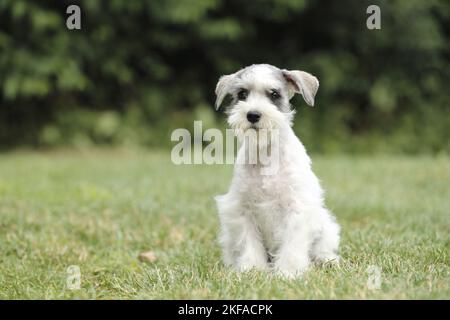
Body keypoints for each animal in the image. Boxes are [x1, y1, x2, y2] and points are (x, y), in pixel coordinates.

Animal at [215, 63, 342, 278]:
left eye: (274, 94)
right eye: (242, 94)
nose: (253, 115)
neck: (266, 153)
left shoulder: (296, 209)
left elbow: (292, 245)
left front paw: (288, 273)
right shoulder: (242, 209)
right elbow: (249, 243)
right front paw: (253, 270)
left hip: (326, 228)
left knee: (321, 249)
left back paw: (327, 261)